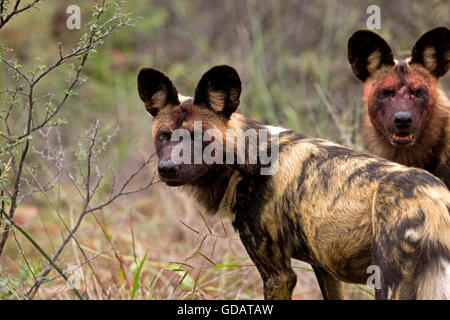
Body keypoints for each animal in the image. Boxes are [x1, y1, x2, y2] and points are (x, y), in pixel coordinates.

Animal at [137, 65, 450, 300]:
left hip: (389, 283)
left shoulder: (278, 275)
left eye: (200, 138)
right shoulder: (324, 269)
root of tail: (432, 197)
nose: (168, 168)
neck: (246, 160)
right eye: (164, 136)